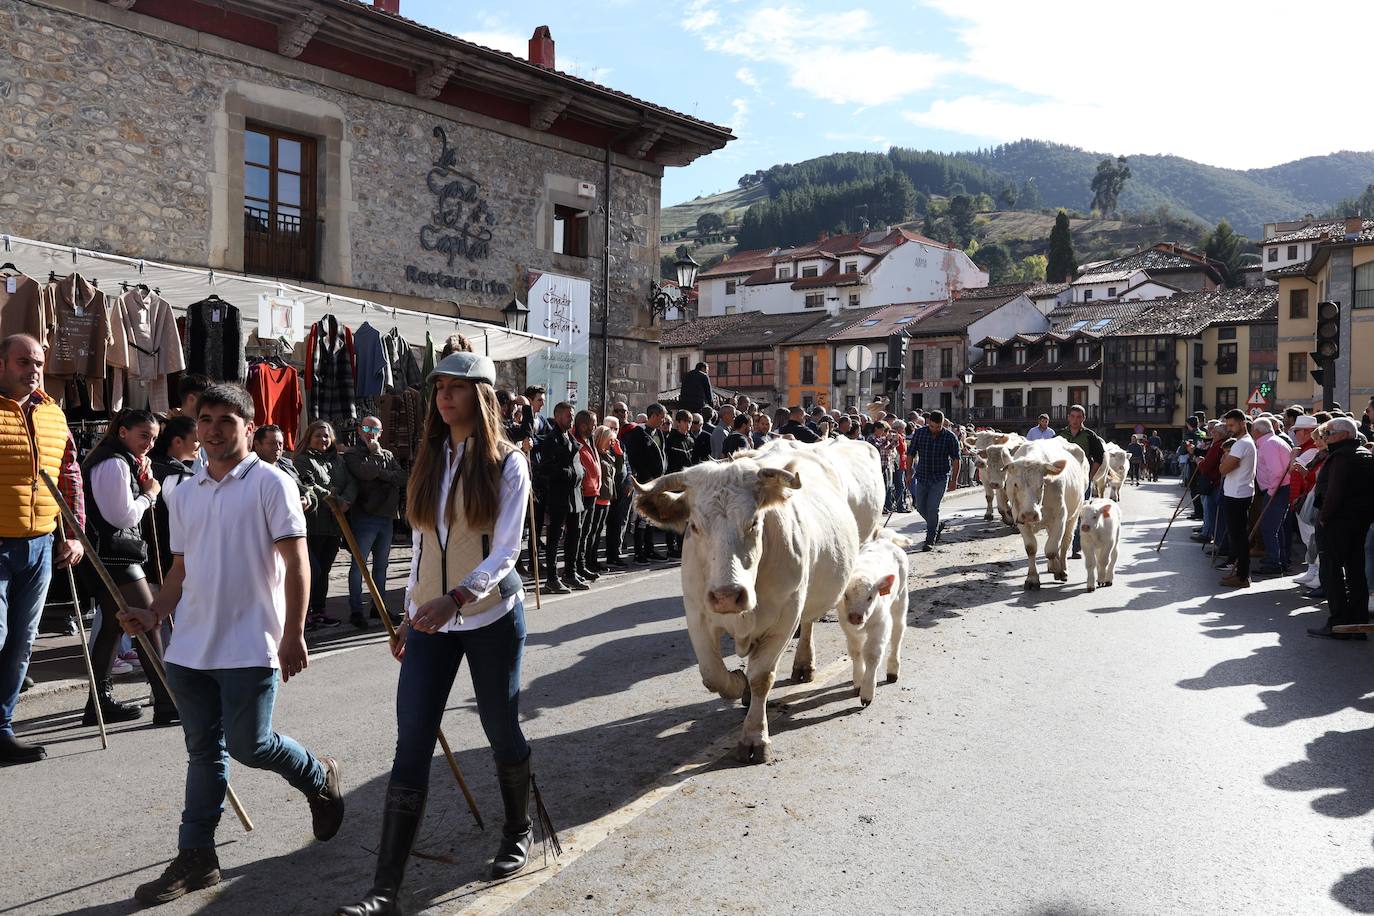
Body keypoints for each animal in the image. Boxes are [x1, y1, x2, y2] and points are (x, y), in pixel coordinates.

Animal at [632, 439, 879, 763]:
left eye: (753, 522)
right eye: (694, 526)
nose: (727, 595)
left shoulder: (786, 614)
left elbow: (762, 675)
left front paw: (754, 737)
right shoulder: (697, 611)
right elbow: (712, 675)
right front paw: (739, 683)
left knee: (809, 622)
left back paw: (805, 665)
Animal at [1005, 439, 1088, 590]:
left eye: (1041, 485)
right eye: (1015, 484)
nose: (1030, 514)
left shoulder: (1060, 516)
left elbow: (1051, 549)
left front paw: (1059, 570)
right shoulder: (1019, 518)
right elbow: (1031, 548)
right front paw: (1032, 578)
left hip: (1074, 515)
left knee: (1065, 542)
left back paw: (1062, 567)